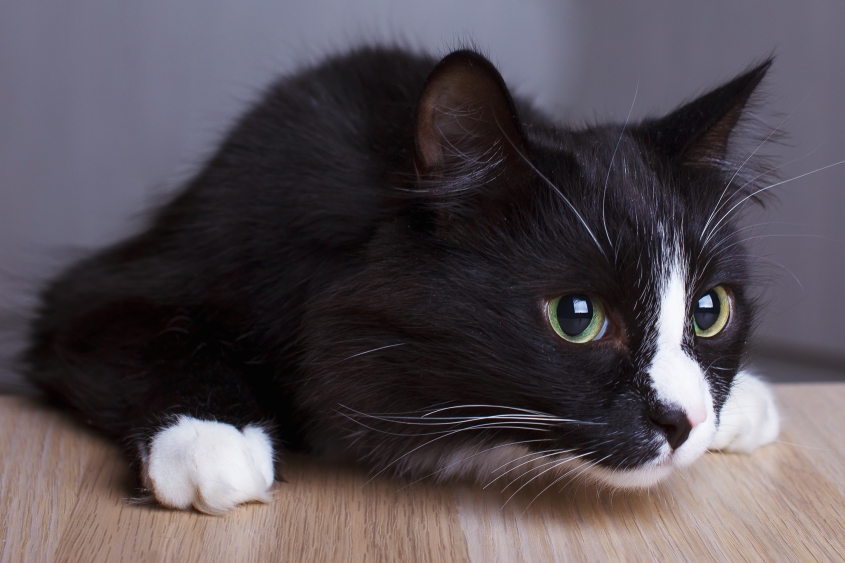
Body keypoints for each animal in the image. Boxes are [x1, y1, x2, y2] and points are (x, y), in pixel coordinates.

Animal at [24, 47, 780, 516]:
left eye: (708, 310)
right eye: (576, 316)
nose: (686, 421)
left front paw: (741, 398)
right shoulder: (106, 285)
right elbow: (143, 329)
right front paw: (210, 436)